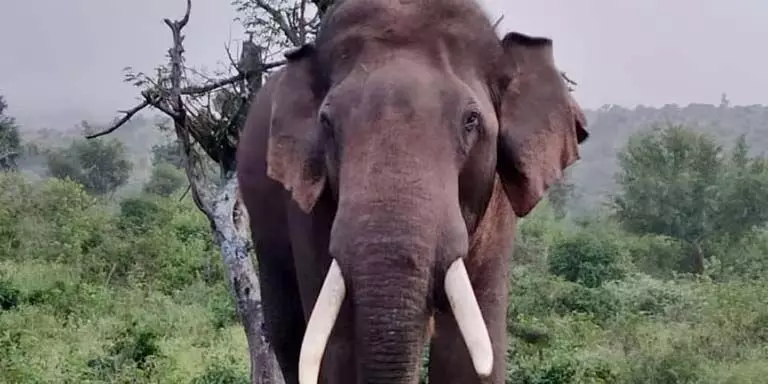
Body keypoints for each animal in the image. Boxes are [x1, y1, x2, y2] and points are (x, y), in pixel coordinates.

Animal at [234, 0, 588, 382]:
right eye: (326, 123)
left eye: (471, 121)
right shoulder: (309, 204)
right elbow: (336, 347)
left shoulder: (497, 208)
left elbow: (468, 353)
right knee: (288, 332)